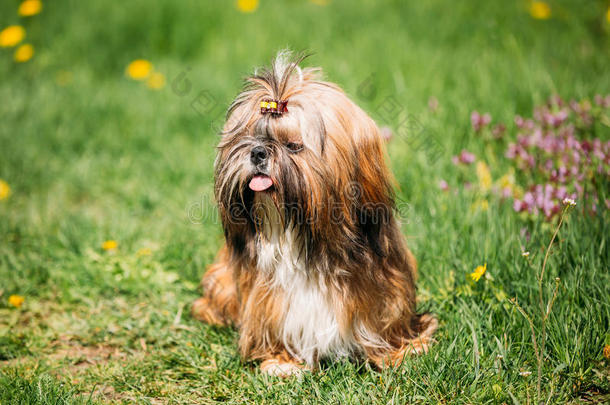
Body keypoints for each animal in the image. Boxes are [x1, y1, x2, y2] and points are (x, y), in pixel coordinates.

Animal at [192, 50, 434, 376]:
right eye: (249, 138)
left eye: (294, 146)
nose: (257, 152)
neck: (305, 242)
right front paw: (282, 361)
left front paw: (399, 350)